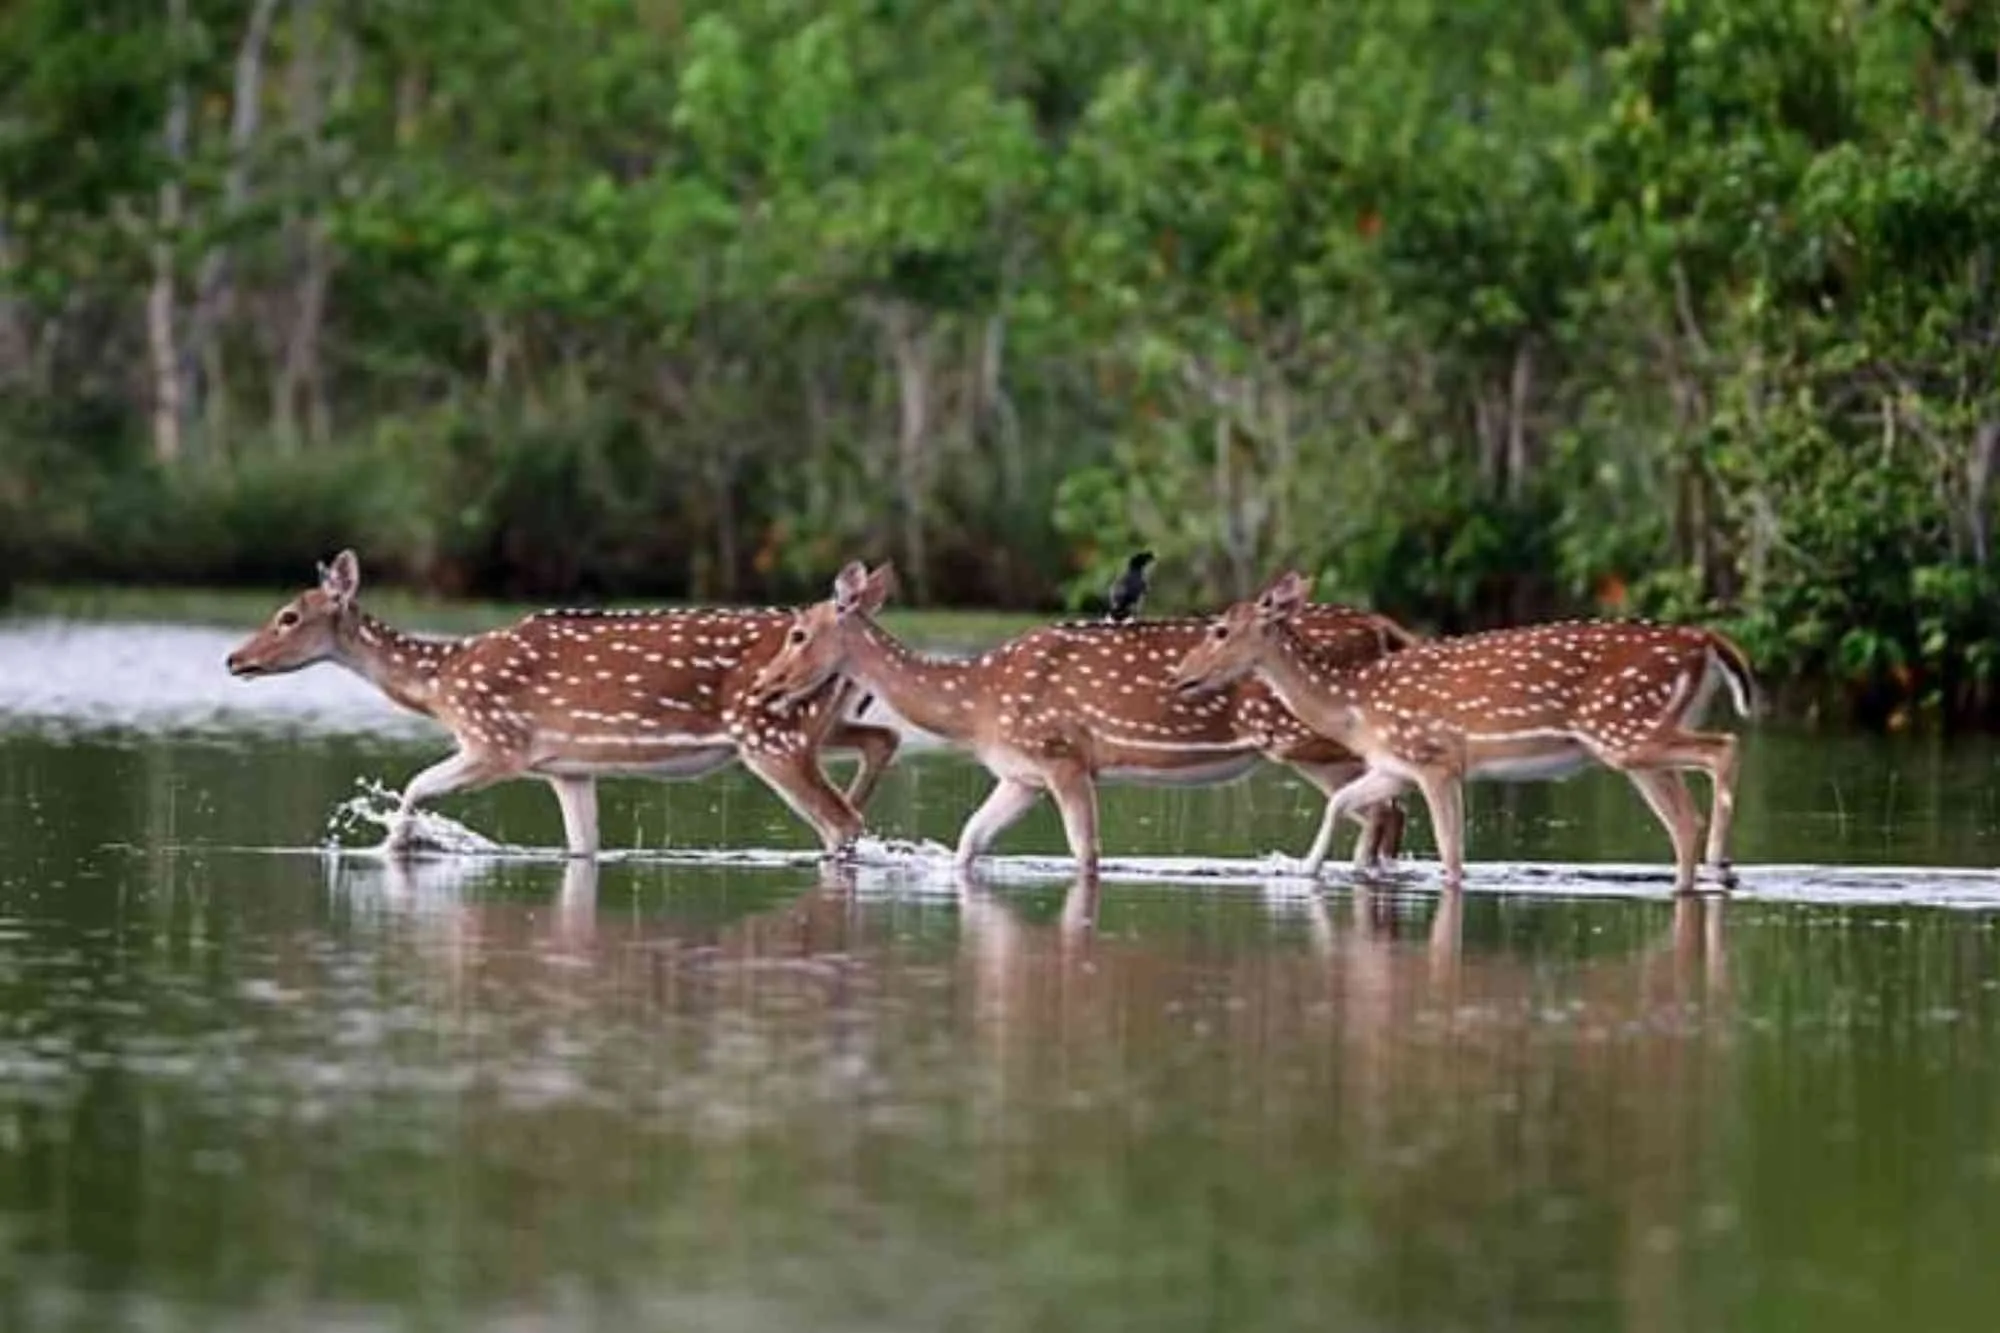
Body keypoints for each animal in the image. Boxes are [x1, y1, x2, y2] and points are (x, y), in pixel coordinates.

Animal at [224, 550, 900, 858]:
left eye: (288, 616)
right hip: (816, 723)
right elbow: (583, 847)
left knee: (839, 818)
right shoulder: (568, 767)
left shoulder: (498, 742)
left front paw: (394, 846)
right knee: (881, 741)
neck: (440, 684)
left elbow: (415, 785)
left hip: (770, 735)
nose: (234, 659)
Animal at [744, 561, 1420, 880]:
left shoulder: (1061, 753)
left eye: (797, 633)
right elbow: (969, 840)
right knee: (1390, 811)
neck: (975, 701)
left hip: (1307, 739)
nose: (763, 683)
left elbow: (1086, 852)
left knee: (1385, 810)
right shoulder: (1020, 773)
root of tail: (1384, 628)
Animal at [1169, 571, 1755, 893]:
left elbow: (1451, 855)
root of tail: (1707, 642)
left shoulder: (1435, 757)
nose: (1180, 675)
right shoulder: (1395, 765)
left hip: (1625, 728)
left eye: (1220, 629)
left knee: (1725, 749)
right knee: (1684, 818)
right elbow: (1341, 804)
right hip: (1638, 741)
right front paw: (1300, 870)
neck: (1354, 705)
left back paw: (1721, 860)